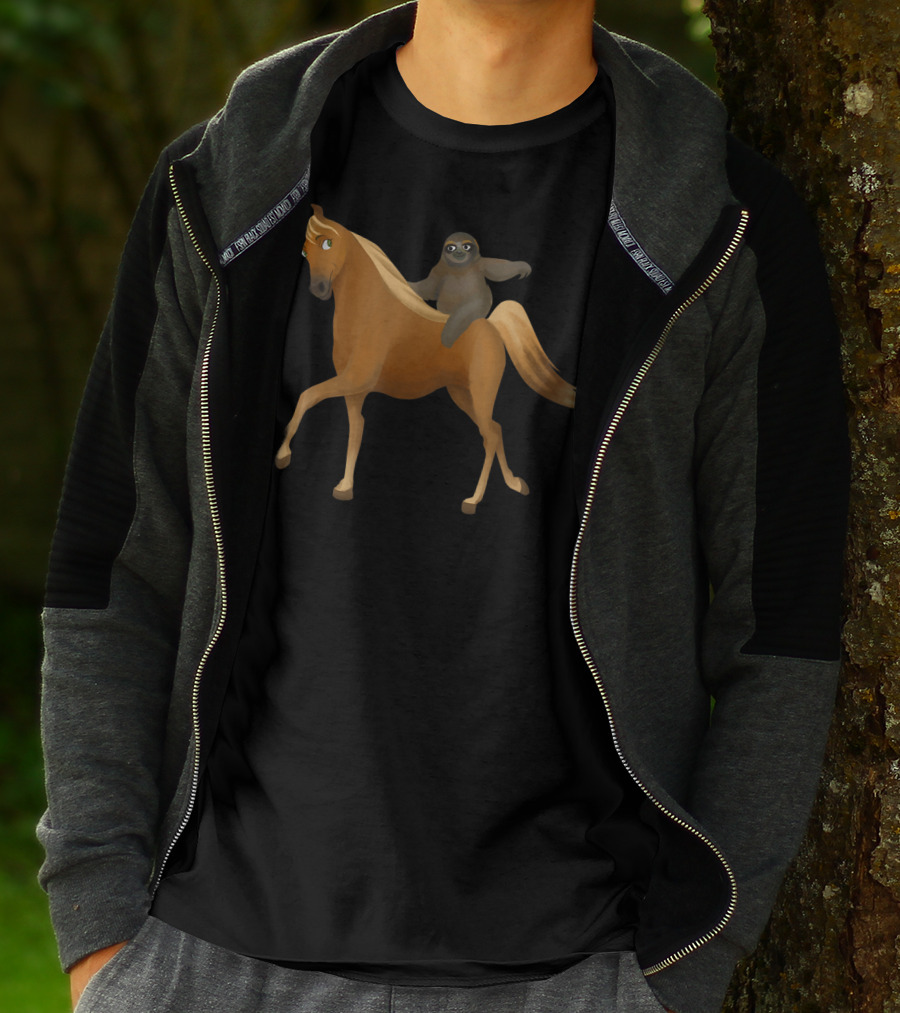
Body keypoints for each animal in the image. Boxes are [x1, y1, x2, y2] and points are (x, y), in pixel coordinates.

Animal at [275, 205, 576, 515]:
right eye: (303, 253)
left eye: (328, 243)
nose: (319, 289)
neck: (369, 312)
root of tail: (491, 325)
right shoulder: (354, 390)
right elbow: (355, 429)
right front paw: (345, 487)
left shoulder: (353, 379)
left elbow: (307, 397)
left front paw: (283, 455)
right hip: (461, 394)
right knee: (495, 429)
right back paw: (514, 483)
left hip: (481, 393)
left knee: (490, 435)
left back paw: (473, 500)